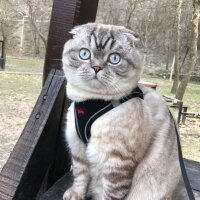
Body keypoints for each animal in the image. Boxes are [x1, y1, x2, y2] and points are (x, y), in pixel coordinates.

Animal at [61, 23, 180, 200]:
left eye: (114, 59)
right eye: (84, 54)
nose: (96, 67)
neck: (92, 101)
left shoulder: (117, 162)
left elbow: (111, 193)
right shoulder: (78, 149)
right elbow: (80, 176)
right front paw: (76, 195)